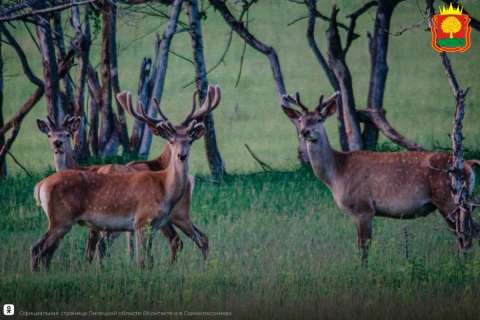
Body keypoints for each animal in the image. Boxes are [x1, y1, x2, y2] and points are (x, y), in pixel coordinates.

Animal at [31, 85, 221, 270]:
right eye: (172, 140)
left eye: (190, 140)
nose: (181, 155)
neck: (164, 188)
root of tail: (41, 185)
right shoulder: (141, 220)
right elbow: (142, 261)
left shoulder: (152, 224)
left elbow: (146, 260)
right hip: (61, 219)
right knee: (38, 248)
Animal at [282, 91, 480, 264]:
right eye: (300, 120)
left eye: (319, 119)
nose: (305, 132)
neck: (337, 174)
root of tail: (469, 164)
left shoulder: (364, 207)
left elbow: (363, 247)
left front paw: (362, 271)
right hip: (458, 201)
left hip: (449, 198)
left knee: (468, 232)